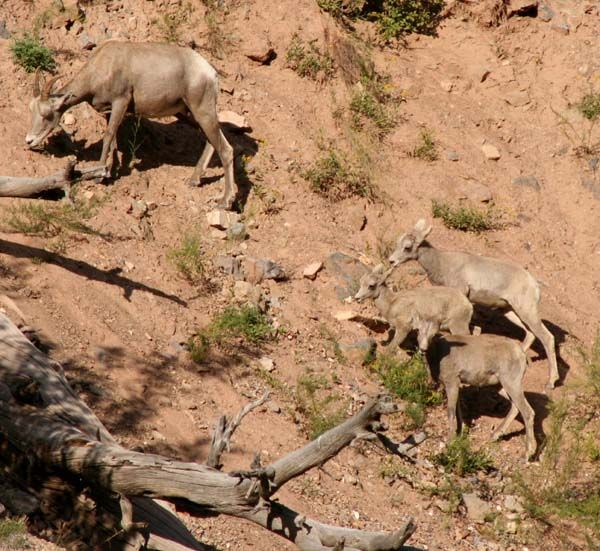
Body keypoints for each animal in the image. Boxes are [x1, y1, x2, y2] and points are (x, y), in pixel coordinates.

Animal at [25, 40, 237, 209]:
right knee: (213, 140)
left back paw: (224, 202)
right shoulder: (109, 112)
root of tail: (210, 72)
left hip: (202, 112)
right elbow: (113, 142)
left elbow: (108, 136)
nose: (29, 141)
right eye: (31, 110)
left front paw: (99, 175)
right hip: (190, 114)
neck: (104, 66)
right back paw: (194, 180)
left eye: (47, 114)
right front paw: (108, 172)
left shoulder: (121, 102)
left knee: (226, 149)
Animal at [390, 220, 556, 392]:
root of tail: (534, 283)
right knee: (530, 334)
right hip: (511, 311)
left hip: (527, 311)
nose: (391, 261)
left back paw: (550, 383)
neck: (443, 263)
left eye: (407, 247)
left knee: (547, 337)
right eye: (398, 243)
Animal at [414, 314, 536, 462]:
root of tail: (521, 353)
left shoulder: (452, 383)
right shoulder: (456, 386)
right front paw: (459, 434)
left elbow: (451, 412)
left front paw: (450, 441)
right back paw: (494, 436)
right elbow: (459, 412)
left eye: (433, 334)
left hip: (511, 384)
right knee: (515, 408)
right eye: (418, 330)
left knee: (528, 412)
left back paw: (526, 455)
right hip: (502, 386)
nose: (423, 349)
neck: (439, 353)